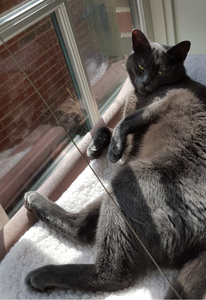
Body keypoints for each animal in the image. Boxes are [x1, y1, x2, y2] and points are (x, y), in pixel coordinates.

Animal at [22, 28, 206, 300]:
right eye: (140, 66)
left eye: (160, 71)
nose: (145, 81)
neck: (140, 96)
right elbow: (106, 127)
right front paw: (96, 147)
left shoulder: (161, 102)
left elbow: (124, 122)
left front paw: (114, 149)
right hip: (116, 187)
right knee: (83, 227)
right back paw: (34, 200)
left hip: (131, 179)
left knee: (111, 273)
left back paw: (41, 275)